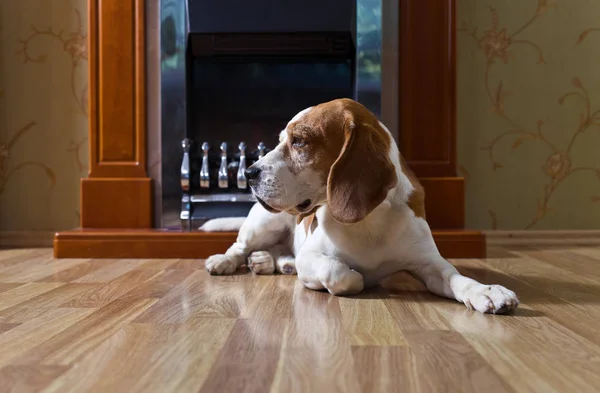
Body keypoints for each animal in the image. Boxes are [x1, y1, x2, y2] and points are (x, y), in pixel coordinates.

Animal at [203, 99, 520, 316]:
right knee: (240, 247)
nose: (249, 173)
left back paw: (272, 262)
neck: (368, 221)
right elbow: (340, 272)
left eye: (299, 141)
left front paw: (486, 291)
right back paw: (226, 261)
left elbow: (457, 277)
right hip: (265, 223)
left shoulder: (430, 263)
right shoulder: (312, 257)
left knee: (279, 253)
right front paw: (356, 278)